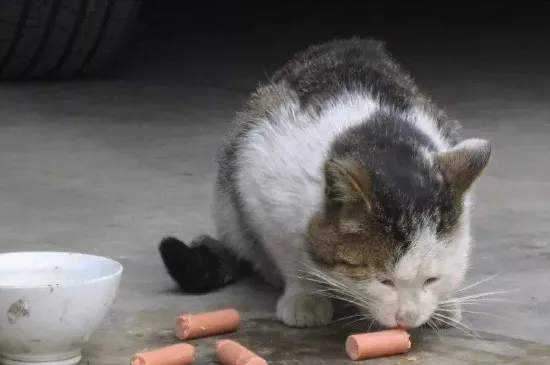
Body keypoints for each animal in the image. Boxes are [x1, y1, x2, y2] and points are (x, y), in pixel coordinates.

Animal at [158, 37, 492, 330]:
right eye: (384, 281)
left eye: (431, 279)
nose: (405, 319)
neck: (381, 137)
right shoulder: (261, 182)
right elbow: (289, 251)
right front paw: (305, 298)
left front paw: (443, 304)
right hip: (229, 197)